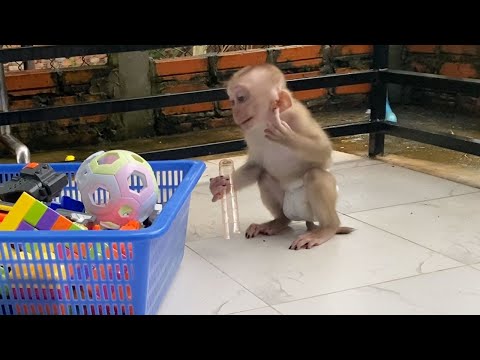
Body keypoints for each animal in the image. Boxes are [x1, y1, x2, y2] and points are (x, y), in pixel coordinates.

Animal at [210, 64, 352, 250]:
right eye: (232, 101)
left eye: (241, 98)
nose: (235, 111)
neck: (265, 122)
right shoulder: (250, 132)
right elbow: (256, 166)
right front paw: (222, 185)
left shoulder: (297, 118)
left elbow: (324, 152)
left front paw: (286, 136)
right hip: (287, 206)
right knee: (265, 177)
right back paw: (279, 222)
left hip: (311, 208)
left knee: (316, 176)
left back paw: (327, 229)